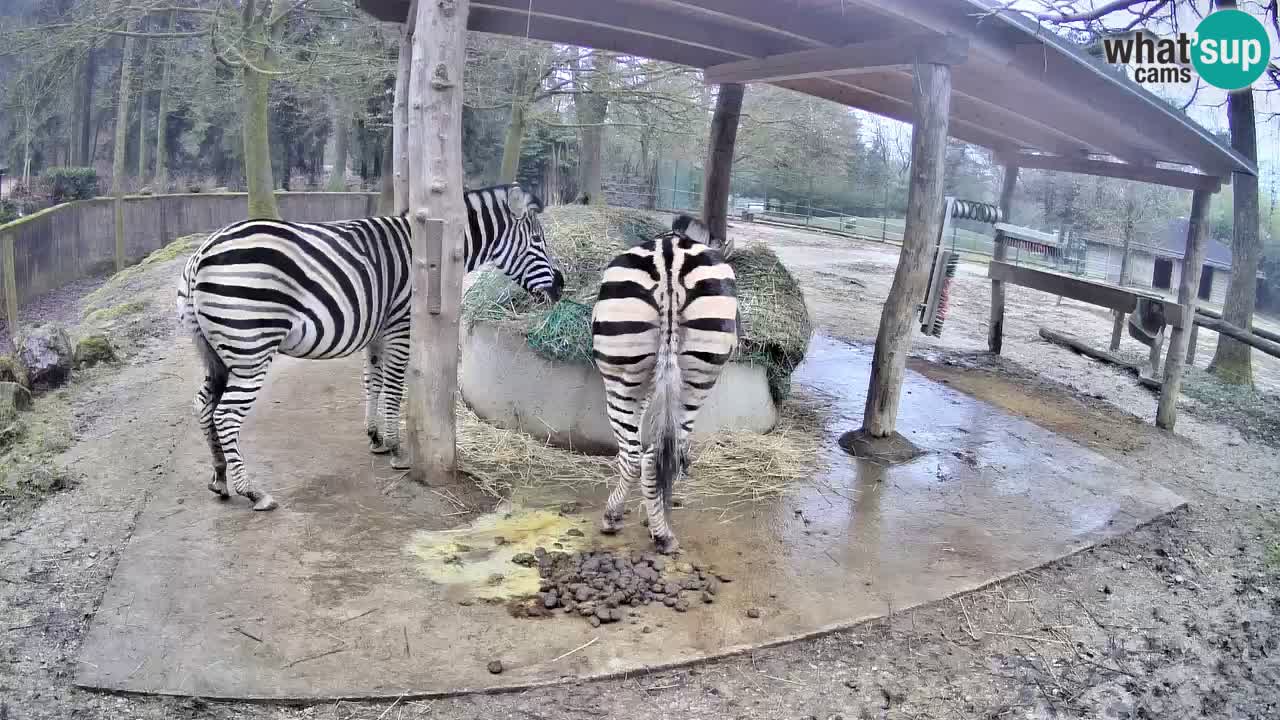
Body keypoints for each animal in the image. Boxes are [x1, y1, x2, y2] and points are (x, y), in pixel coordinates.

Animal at [176, 184, 564, 511]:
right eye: (538, 240)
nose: (561, 287)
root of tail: (200, 253)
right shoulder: (401, 325)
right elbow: (393, 387)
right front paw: (396, 448)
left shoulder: (377, 330)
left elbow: (372, 382)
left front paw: (375, 436)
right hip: (250, 350)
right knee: (226, 415)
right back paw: (252, 491)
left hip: (215, 353)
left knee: (203, 406)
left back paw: (220, 478)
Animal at [592, 215, 738, 554]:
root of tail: (670, 263)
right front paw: (658, 510)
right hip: (698, 376)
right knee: (669, 452)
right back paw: (663, 528)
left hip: (621, 379)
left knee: (637, 456)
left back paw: (624, 521)